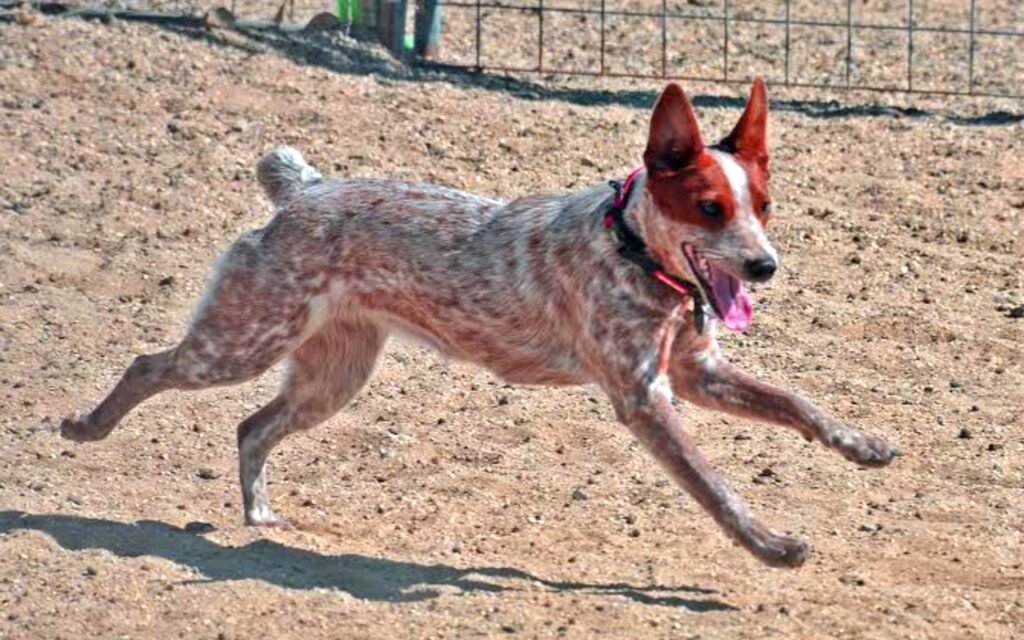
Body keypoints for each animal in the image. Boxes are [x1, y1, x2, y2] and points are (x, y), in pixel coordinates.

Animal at [61, 80, 897, 569]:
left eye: (764, 206)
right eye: (710, 208)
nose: (765, 267)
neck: (636, 256)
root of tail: (305, 189)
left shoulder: (699, 374)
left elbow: (798, 404)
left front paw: (862, 444)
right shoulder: (646, 398)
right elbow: (715, 486)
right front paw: (770, 544)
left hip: (332, 376)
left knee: (251, 427)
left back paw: (260, 513)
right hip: (242, 341)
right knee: (149, 365)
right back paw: (85, 428)